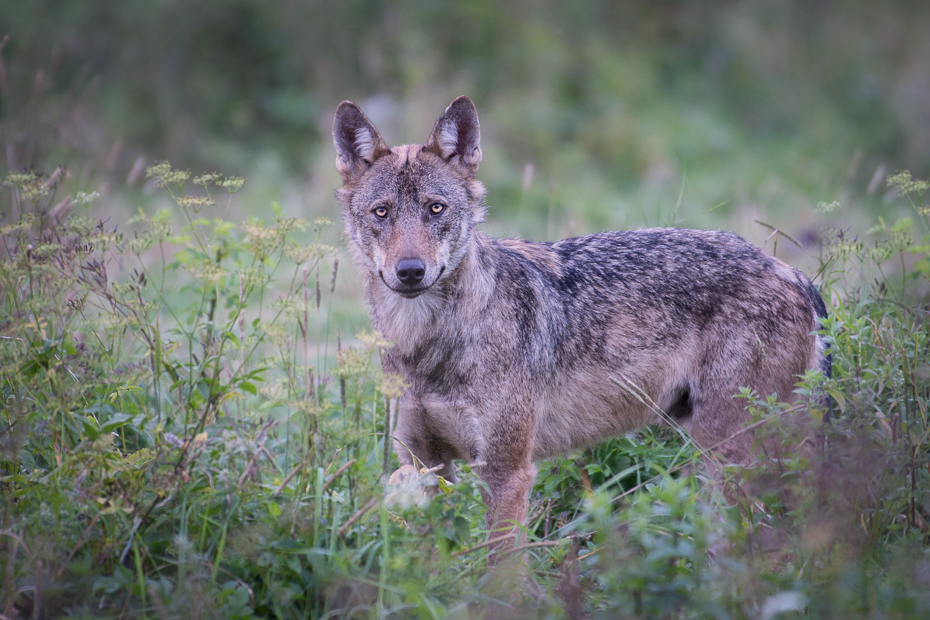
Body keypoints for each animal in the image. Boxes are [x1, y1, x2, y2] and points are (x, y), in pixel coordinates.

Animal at [332, 94, 828, 544]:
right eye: (382, 212)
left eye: (435, 208)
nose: (410, 271)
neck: (426, 345)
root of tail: (794, 273)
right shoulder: (423, 465)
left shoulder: (507, 472)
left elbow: (498, 571)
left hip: (733, 453)